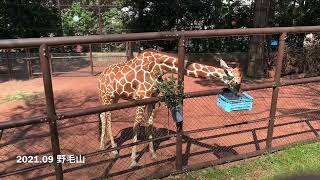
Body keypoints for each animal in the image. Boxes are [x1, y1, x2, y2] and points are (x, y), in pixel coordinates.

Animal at [97, 48, 242, 167]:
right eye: (236, 82)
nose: (239, 93)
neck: (158, 67)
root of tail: (100, 76)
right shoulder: (141, 98)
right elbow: (136, 126)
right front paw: (133, 160)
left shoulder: (152, 99)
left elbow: (150, 125)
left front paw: (153, 154)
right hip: (107, 96)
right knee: (107, 116)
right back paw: (114, 150)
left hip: (114, 97)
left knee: (103, 115)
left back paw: (103, 147)